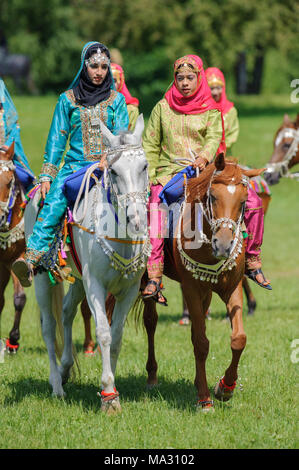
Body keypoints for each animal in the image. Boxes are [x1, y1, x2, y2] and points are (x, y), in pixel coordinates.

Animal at [24, 115, 150, 414]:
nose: (137, 219)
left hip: (79, 281)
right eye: (113, 171)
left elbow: (116, 337)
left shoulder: (128, 290)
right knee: (49, 327)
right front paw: (108, 393)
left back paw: (66, 370)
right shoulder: (95, 285)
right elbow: (103, 333)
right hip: (44, 280)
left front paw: (112, 389)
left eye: (144, 166)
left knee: (66, 312)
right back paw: (56, 385)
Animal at [136, 154, 264, 412]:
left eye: (243, 201)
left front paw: (225, 388)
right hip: (148, 281)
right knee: (151, 322)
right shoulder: (192, 289)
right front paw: (204, 399)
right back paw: (152, 376)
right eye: (212, 196)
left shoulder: (231, 288)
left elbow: (238, 339)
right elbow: (201, 343)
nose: (223, 245)